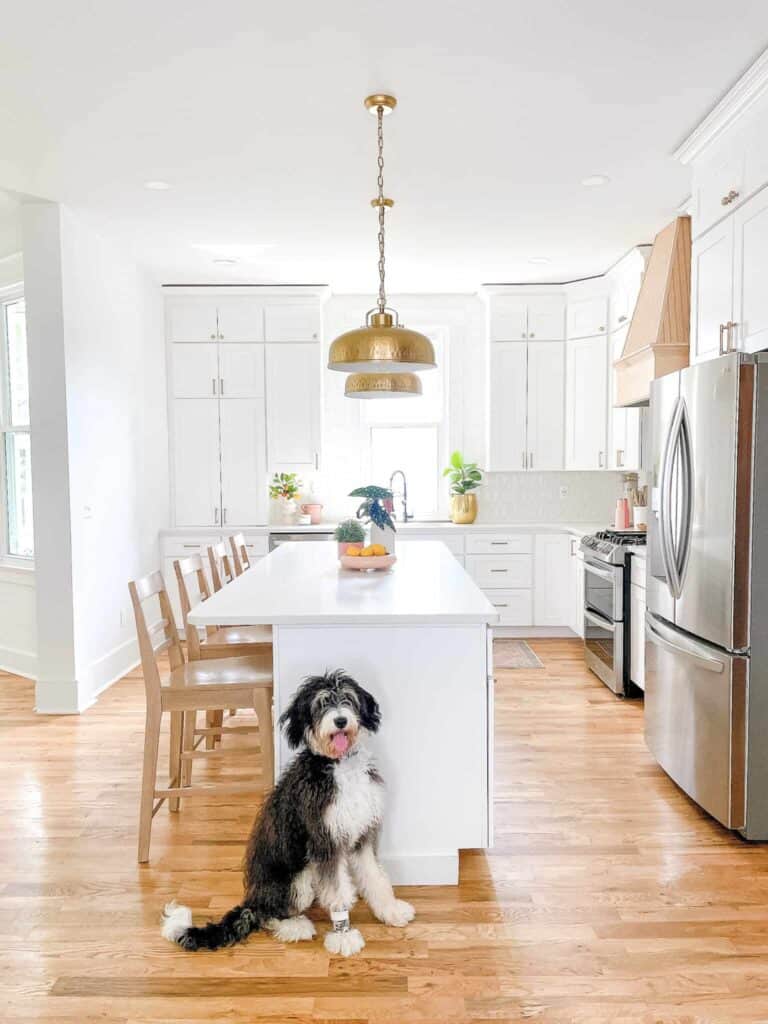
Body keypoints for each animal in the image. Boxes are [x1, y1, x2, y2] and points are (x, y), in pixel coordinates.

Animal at [161, 667, 415, 954]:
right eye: (320, 705)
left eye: (348, 699)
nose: (340, 721)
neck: (339, 766)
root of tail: (252, 899)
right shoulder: (324, 841)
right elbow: (337, 891)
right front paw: (343, 935)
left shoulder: (363, 834)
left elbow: (376, 876)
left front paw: (390, 910)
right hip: (297, 880)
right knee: (268, 914)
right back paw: (295, 926)